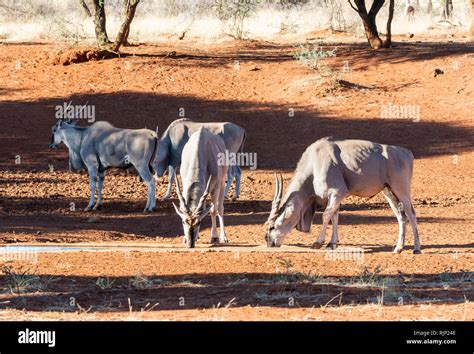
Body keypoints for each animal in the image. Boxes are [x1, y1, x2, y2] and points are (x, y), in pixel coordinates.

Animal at [264, 136, 420, 254]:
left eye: (272, 227)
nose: (269, 242)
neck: (315, 161)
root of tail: (407, 153)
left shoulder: (337, 192)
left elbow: (326, 215)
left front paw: (318, 242)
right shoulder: (335, 197)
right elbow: (334, 217)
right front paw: (332, 243)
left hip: (401, 190)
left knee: (411, 214)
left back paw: (417, 248)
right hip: (389, 192)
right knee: (401, 216)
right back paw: (398, 248)